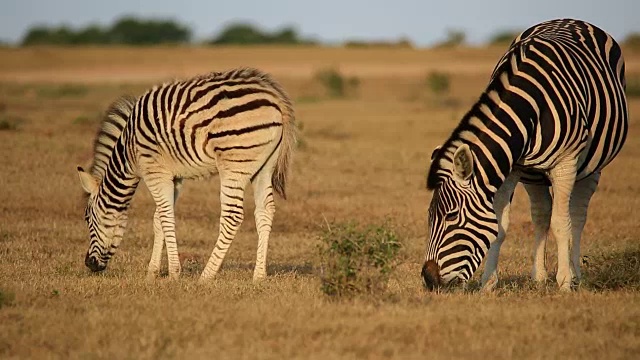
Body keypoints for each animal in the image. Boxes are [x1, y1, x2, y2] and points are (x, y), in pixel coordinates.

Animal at [76, 67, 296, 282]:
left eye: (87, 218)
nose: (89, 264)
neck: (128, 152)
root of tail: (273, 96)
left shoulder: (154, 170)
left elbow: (166, 216)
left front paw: (174, 272)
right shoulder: (174, 176)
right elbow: (158, 219)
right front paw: (152, 272)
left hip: (234, 163)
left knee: (232, 215)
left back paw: (206, 276)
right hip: (264, 166)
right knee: (265, 211)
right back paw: (258, 276)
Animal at [422, 18, 628, 292]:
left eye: (452, 216)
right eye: (429, 216)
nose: (428, 279)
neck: (529, 105)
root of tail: (569, 19)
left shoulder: (565, 164)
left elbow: (561, 223)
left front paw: (564, 283)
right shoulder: (510, 167)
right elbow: (500, 225)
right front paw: (488, 283)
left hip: (591, 168)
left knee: (576, 216)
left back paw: (575, 275)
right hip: (532, 174)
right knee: (541, 214)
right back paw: (539, 276)